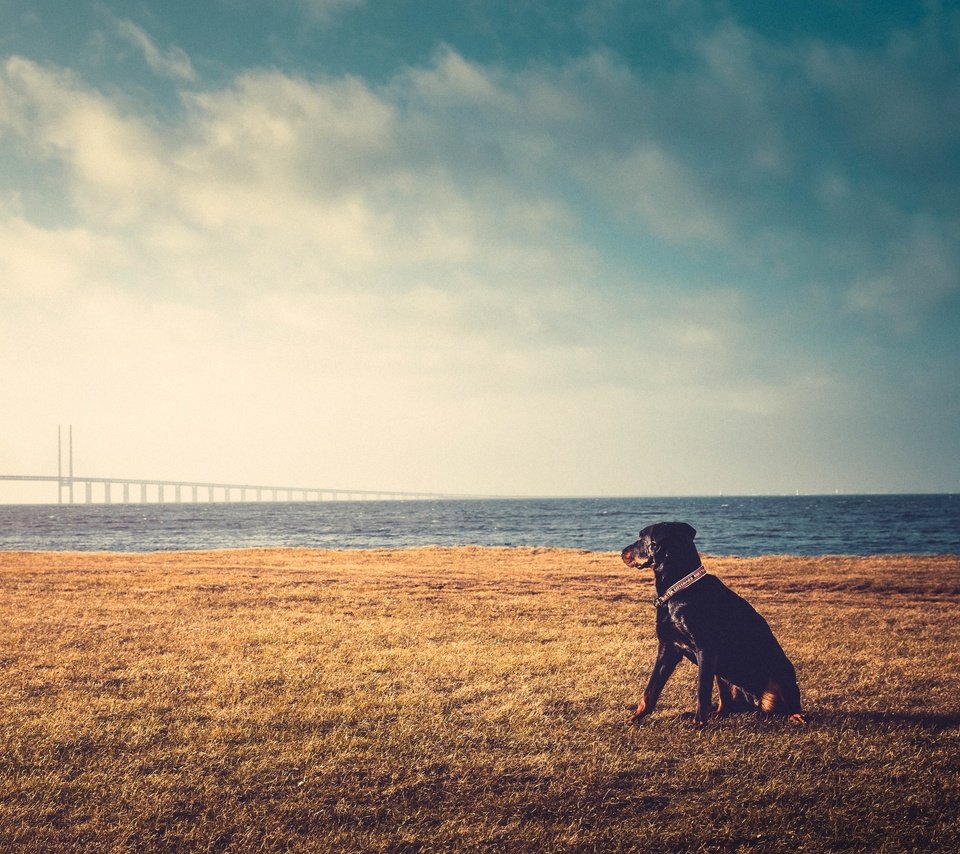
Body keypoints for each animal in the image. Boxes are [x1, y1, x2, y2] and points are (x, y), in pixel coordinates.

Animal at [624, 520, 804, 728]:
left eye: (641, 538)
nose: (622, 551)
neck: (679, 589)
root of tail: (755, 703)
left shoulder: (706, 649)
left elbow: (702, 691)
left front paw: (698, 723)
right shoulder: (668, 647)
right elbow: (650, 690)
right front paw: (635, 717)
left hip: (780, 672)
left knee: (789, 701)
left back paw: (795, 715)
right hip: (722, 673)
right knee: (727, 704)